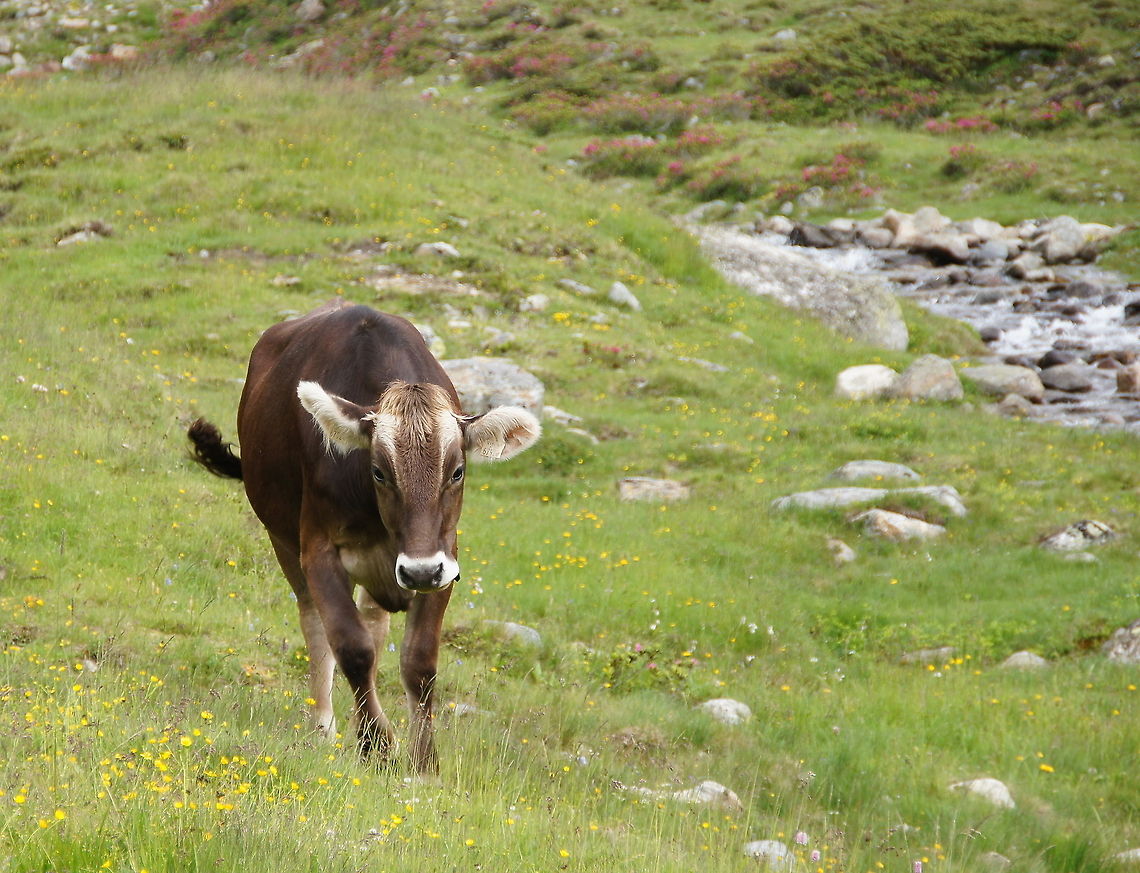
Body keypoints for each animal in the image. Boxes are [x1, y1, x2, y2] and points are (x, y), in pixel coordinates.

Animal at [187, 300, 540, 771]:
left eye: (458, 471)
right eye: (378, 471)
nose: (420, 572)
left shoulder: (445, 560)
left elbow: (419, 662)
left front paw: (424, 763)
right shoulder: (318, 549)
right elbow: (351, 648)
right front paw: (377, 744)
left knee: (373, 621)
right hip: (283, 538)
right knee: (315, 624)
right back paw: (324, 727)